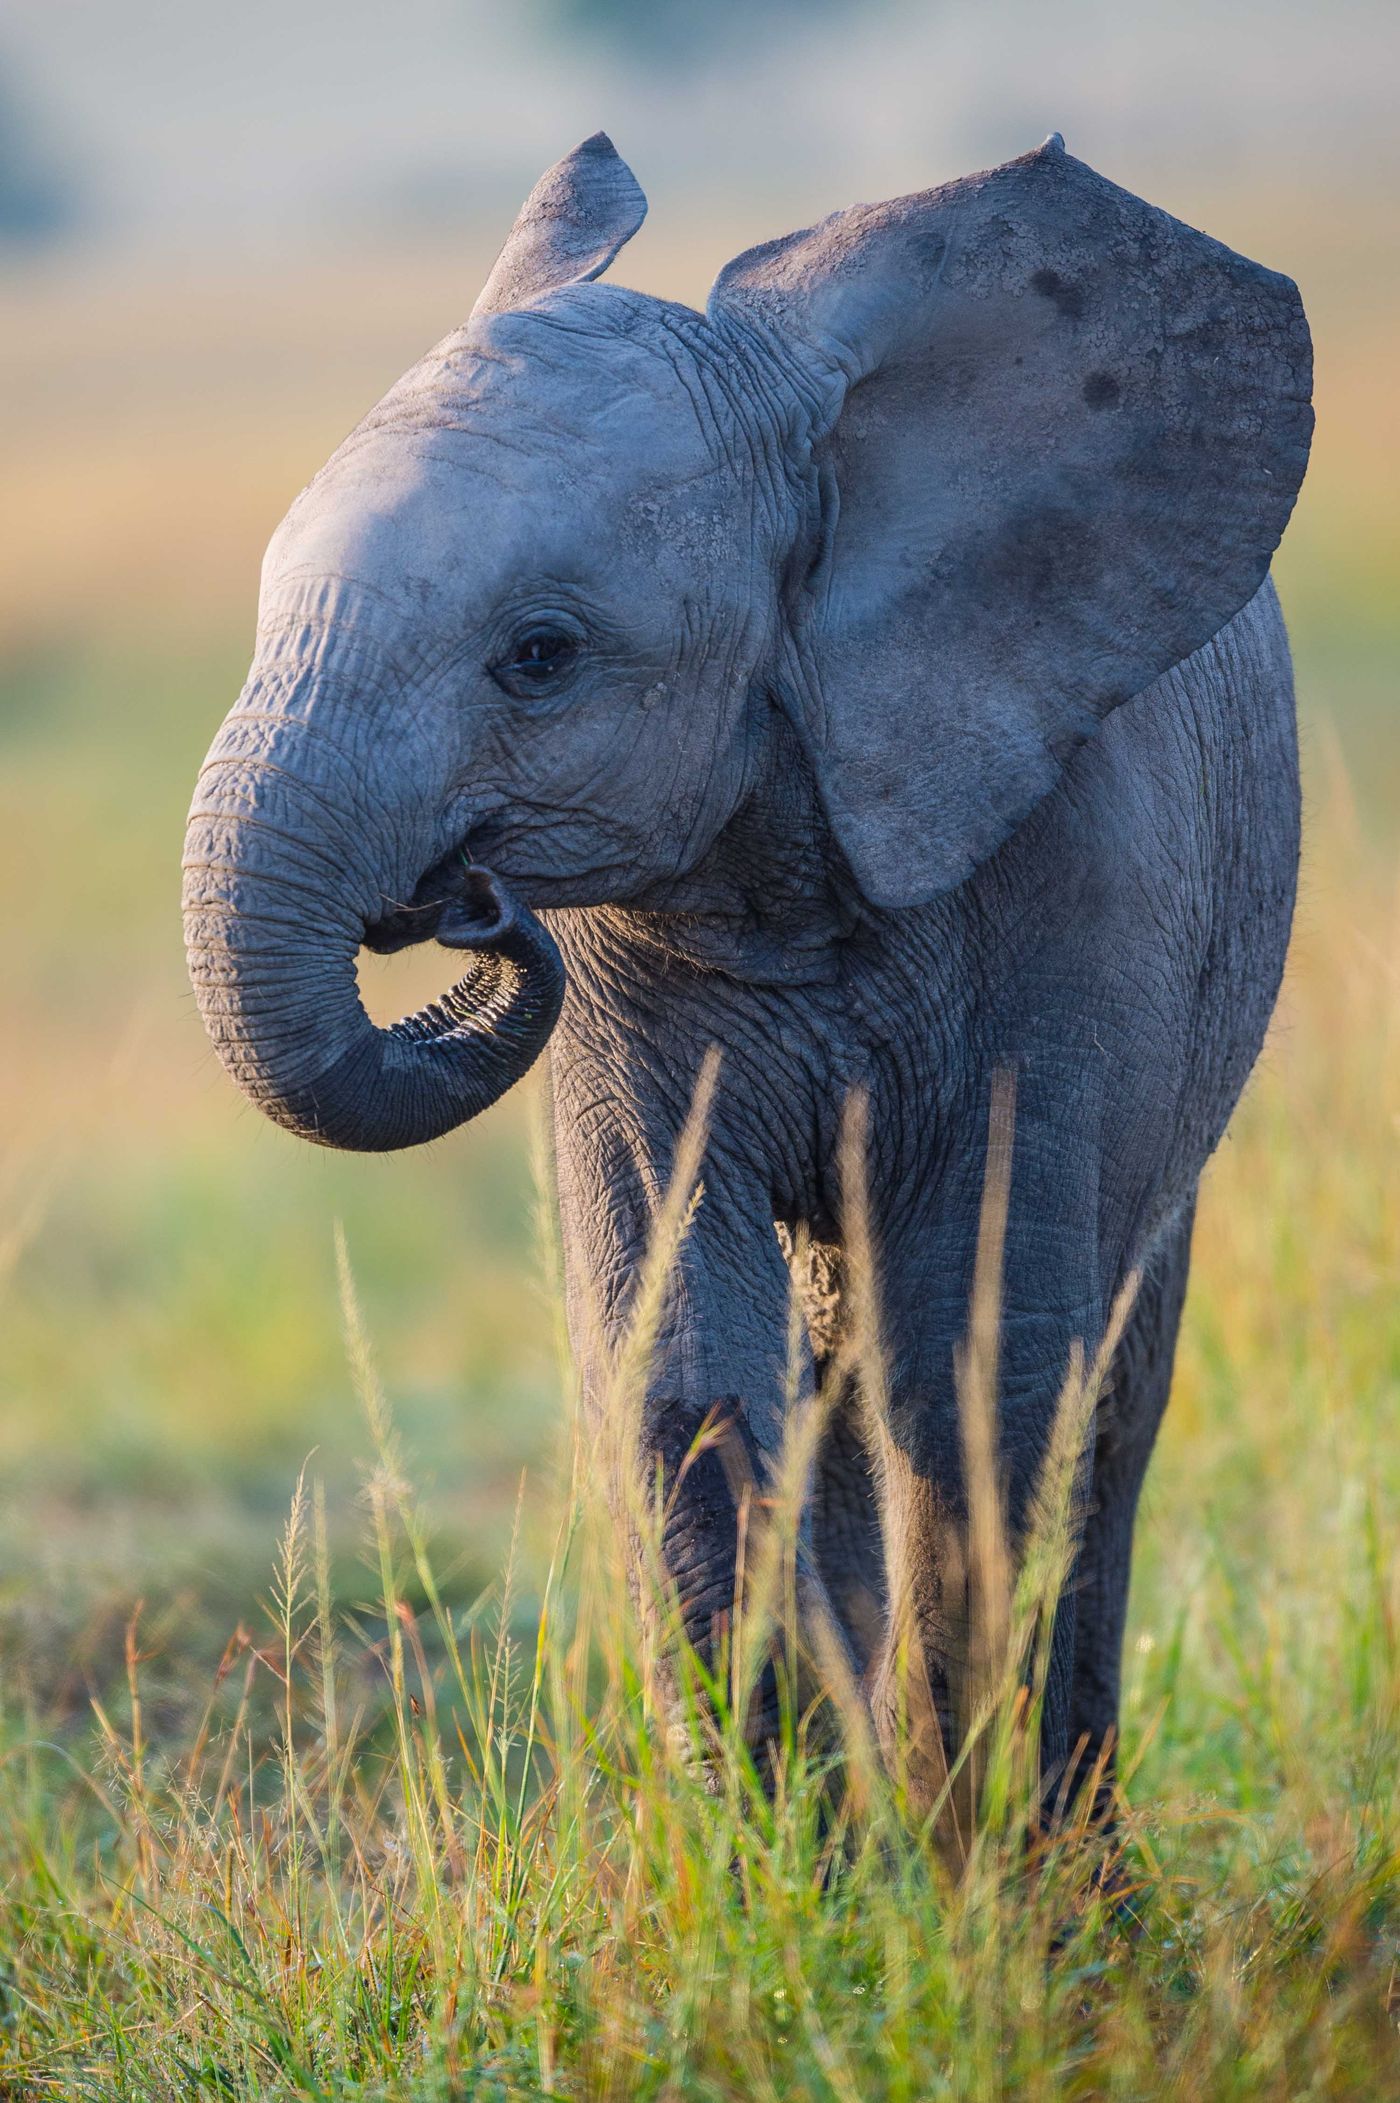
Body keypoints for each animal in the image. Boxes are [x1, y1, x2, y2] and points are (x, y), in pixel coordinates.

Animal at [182, 127, 1311, 1808]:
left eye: (540, 655)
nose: (473, 906)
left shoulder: (1083, 865)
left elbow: (984, 1363)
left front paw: (971, 1863)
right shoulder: (625, 979)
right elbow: (686, 1365)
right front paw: (809, 1855)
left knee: (1106, 1390)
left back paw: (1070, 1850)